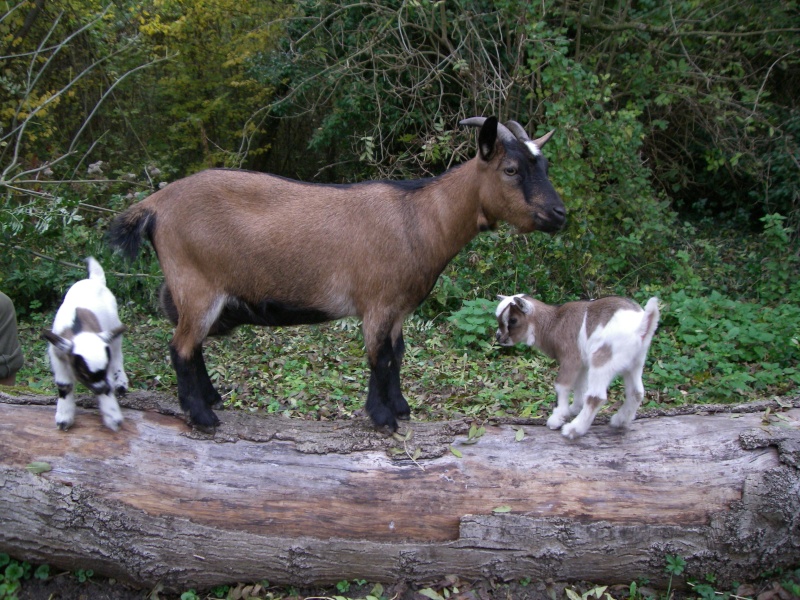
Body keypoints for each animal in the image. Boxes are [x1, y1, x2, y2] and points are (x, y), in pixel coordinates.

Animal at [109, 115, 564, 428]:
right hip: (197, 285)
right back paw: (203, 416)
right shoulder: (377, 303)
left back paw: (212, 400)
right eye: (511, 169)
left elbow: (396, 355)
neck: (419, 219)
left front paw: (401, 408)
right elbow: (379, 357)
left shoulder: (398, 309)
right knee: (181, 347)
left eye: (543, 166)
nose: (559, 214)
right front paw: (382, 418)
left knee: (192, 344)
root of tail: (154, 205)